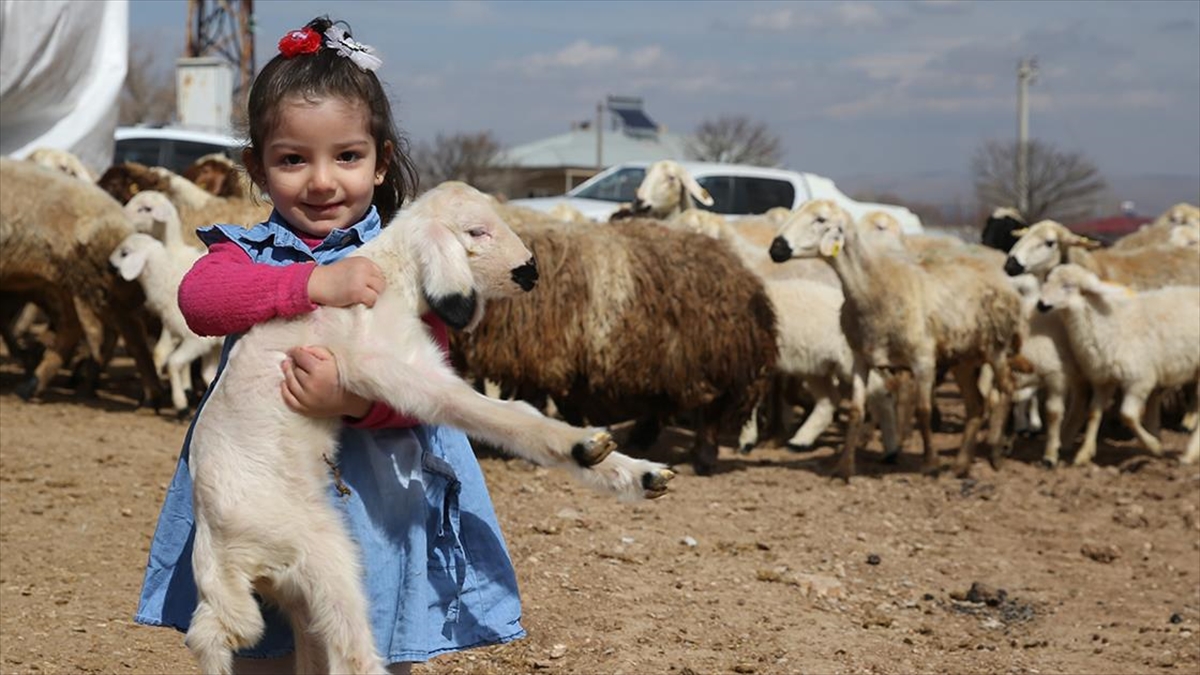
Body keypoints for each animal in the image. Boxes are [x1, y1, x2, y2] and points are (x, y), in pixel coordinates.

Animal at [109, 235, 219, 415]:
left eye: (124, 253)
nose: (108, 266)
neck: (168, 279)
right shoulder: (183, 334)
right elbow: (207, 374)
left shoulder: (196, 340)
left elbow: (173, 364)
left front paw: (181, 405)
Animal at [1036, 265, 1195, 466]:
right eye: (1047, 281)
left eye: (1068, 286)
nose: (1041, 304)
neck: (1108, 325)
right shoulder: (1103, 379)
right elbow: (1094, 413)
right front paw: (1084, 453)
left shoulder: (1140, 380)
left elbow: (1127, 415)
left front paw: (1154, 446)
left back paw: (1188, 454)